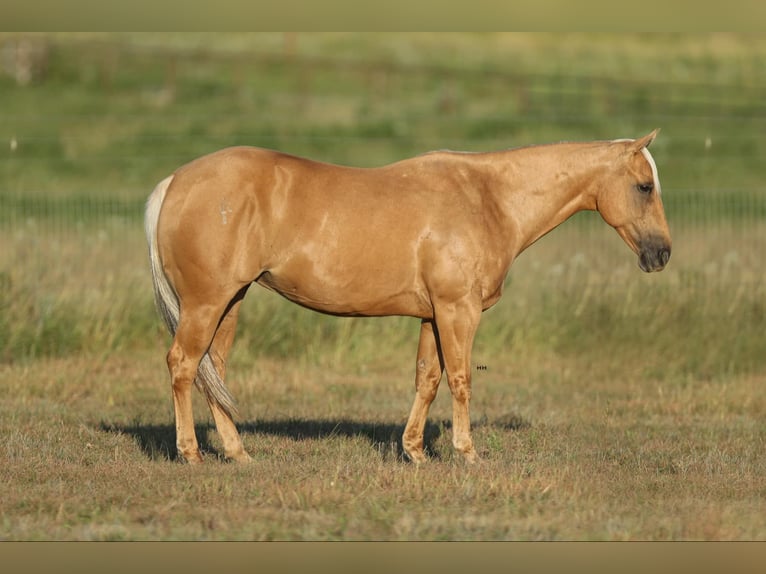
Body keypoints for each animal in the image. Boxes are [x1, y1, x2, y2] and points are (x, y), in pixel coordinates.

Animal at [144, 130, 671, 465]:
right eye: (644, 187)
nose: (662, 253)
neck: (488, 198)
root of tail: (175, 182)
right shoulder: (459, 311)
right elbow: (460, 379)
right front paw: (467, 453)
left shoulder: (432, 315)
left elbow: (427, 379)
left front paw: (415, 451)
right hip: (207, 303)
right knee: (183, 365)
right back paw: (191, 454)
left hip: (230, 302)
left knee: (214, 370)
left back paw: (238, 453)